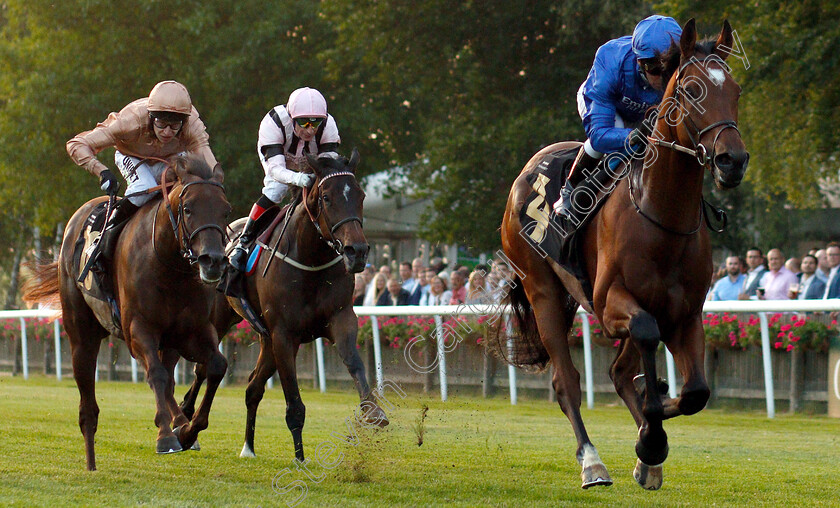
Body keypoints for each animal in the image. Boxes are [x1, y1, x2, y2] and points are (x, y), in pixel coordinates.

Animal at [23, 156, 230, 472]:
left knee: (170, 378)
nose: (214, 261)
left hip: (169, 342)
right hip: (82, 336)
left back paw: (180, 423)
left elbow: (216, 366)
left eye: (225, 210)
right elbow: (155, 374)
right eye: (187, 208)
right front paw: (166, 437)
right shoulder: (138, 329)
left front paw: (188, 430)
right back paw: (91, 463)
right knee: (89, 406)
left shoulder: (192, 331)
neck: (169, 265)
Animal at [182, 149, 388, 462]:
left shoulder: (340, 319)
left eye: (361, 195)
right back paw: (187, 424)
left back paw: (248, 447)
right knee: (203, 369)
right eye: (326, 197)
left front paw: (373, 412)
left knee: (252, 388)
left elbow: (354, 362)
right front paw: (300, 458)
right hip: (219, 321)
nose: (358, 251)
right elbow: (294, 400)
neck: (311, 260)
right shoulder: (284, 334)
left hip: (265, 339)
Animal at [498, 20, 748, 492]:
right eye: (691, 90)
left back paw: (647, 456)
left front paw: (652, 434)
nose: (732, 160)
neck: (661, 219)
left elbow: (695, 393)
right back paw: (593, 463)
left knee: (619, 372)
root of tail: (525, 173)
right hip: (543, 291)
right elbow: (646, 342)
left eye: (736, 90)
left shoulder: (685, 313)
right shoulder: (611, 303)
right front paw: (651, 437)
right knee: (567, 383)